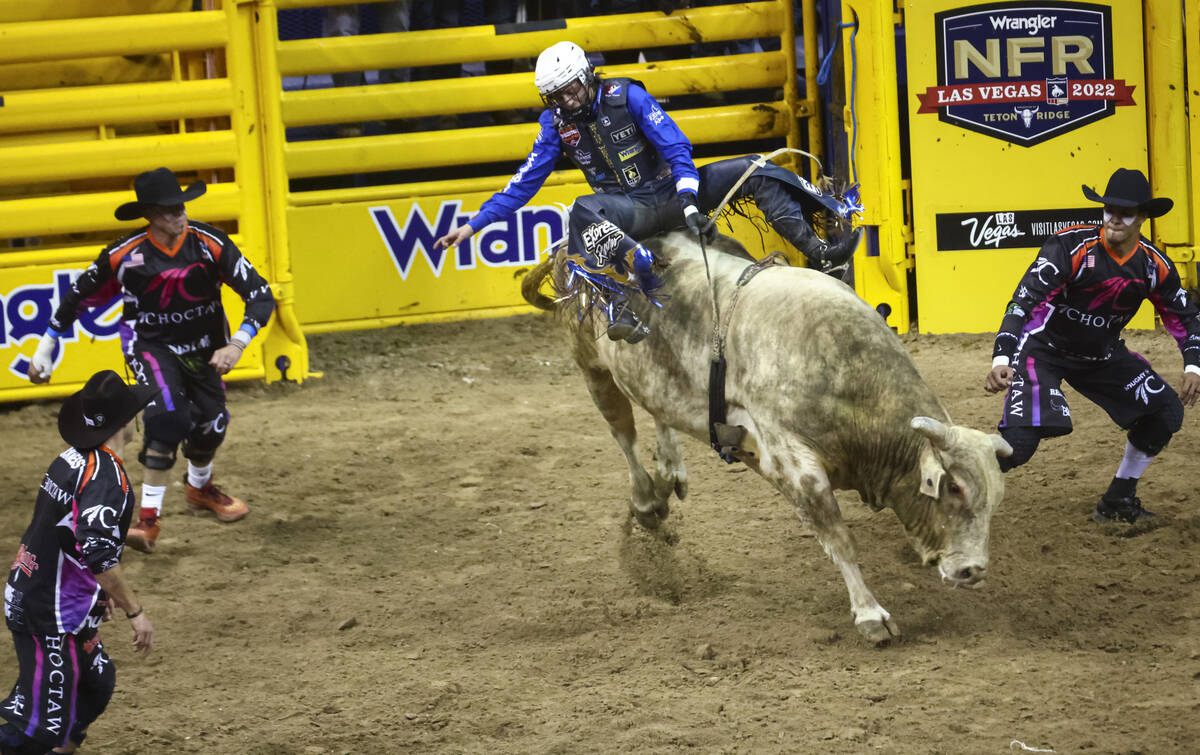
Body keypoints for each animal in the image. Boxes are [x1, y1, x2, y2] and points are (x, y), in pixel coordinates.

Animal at [523, 231, 1012, 643]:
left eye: (995, 499)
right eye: (954, 487)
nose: (973, 570)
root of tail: (566, 246)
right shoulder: (795, 466)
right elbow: (839, 539)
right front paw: (871, 615)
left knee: (658, 412)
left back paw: (671, 472)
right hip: (590, 363)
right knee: (622, 430)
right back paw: (647, 499)